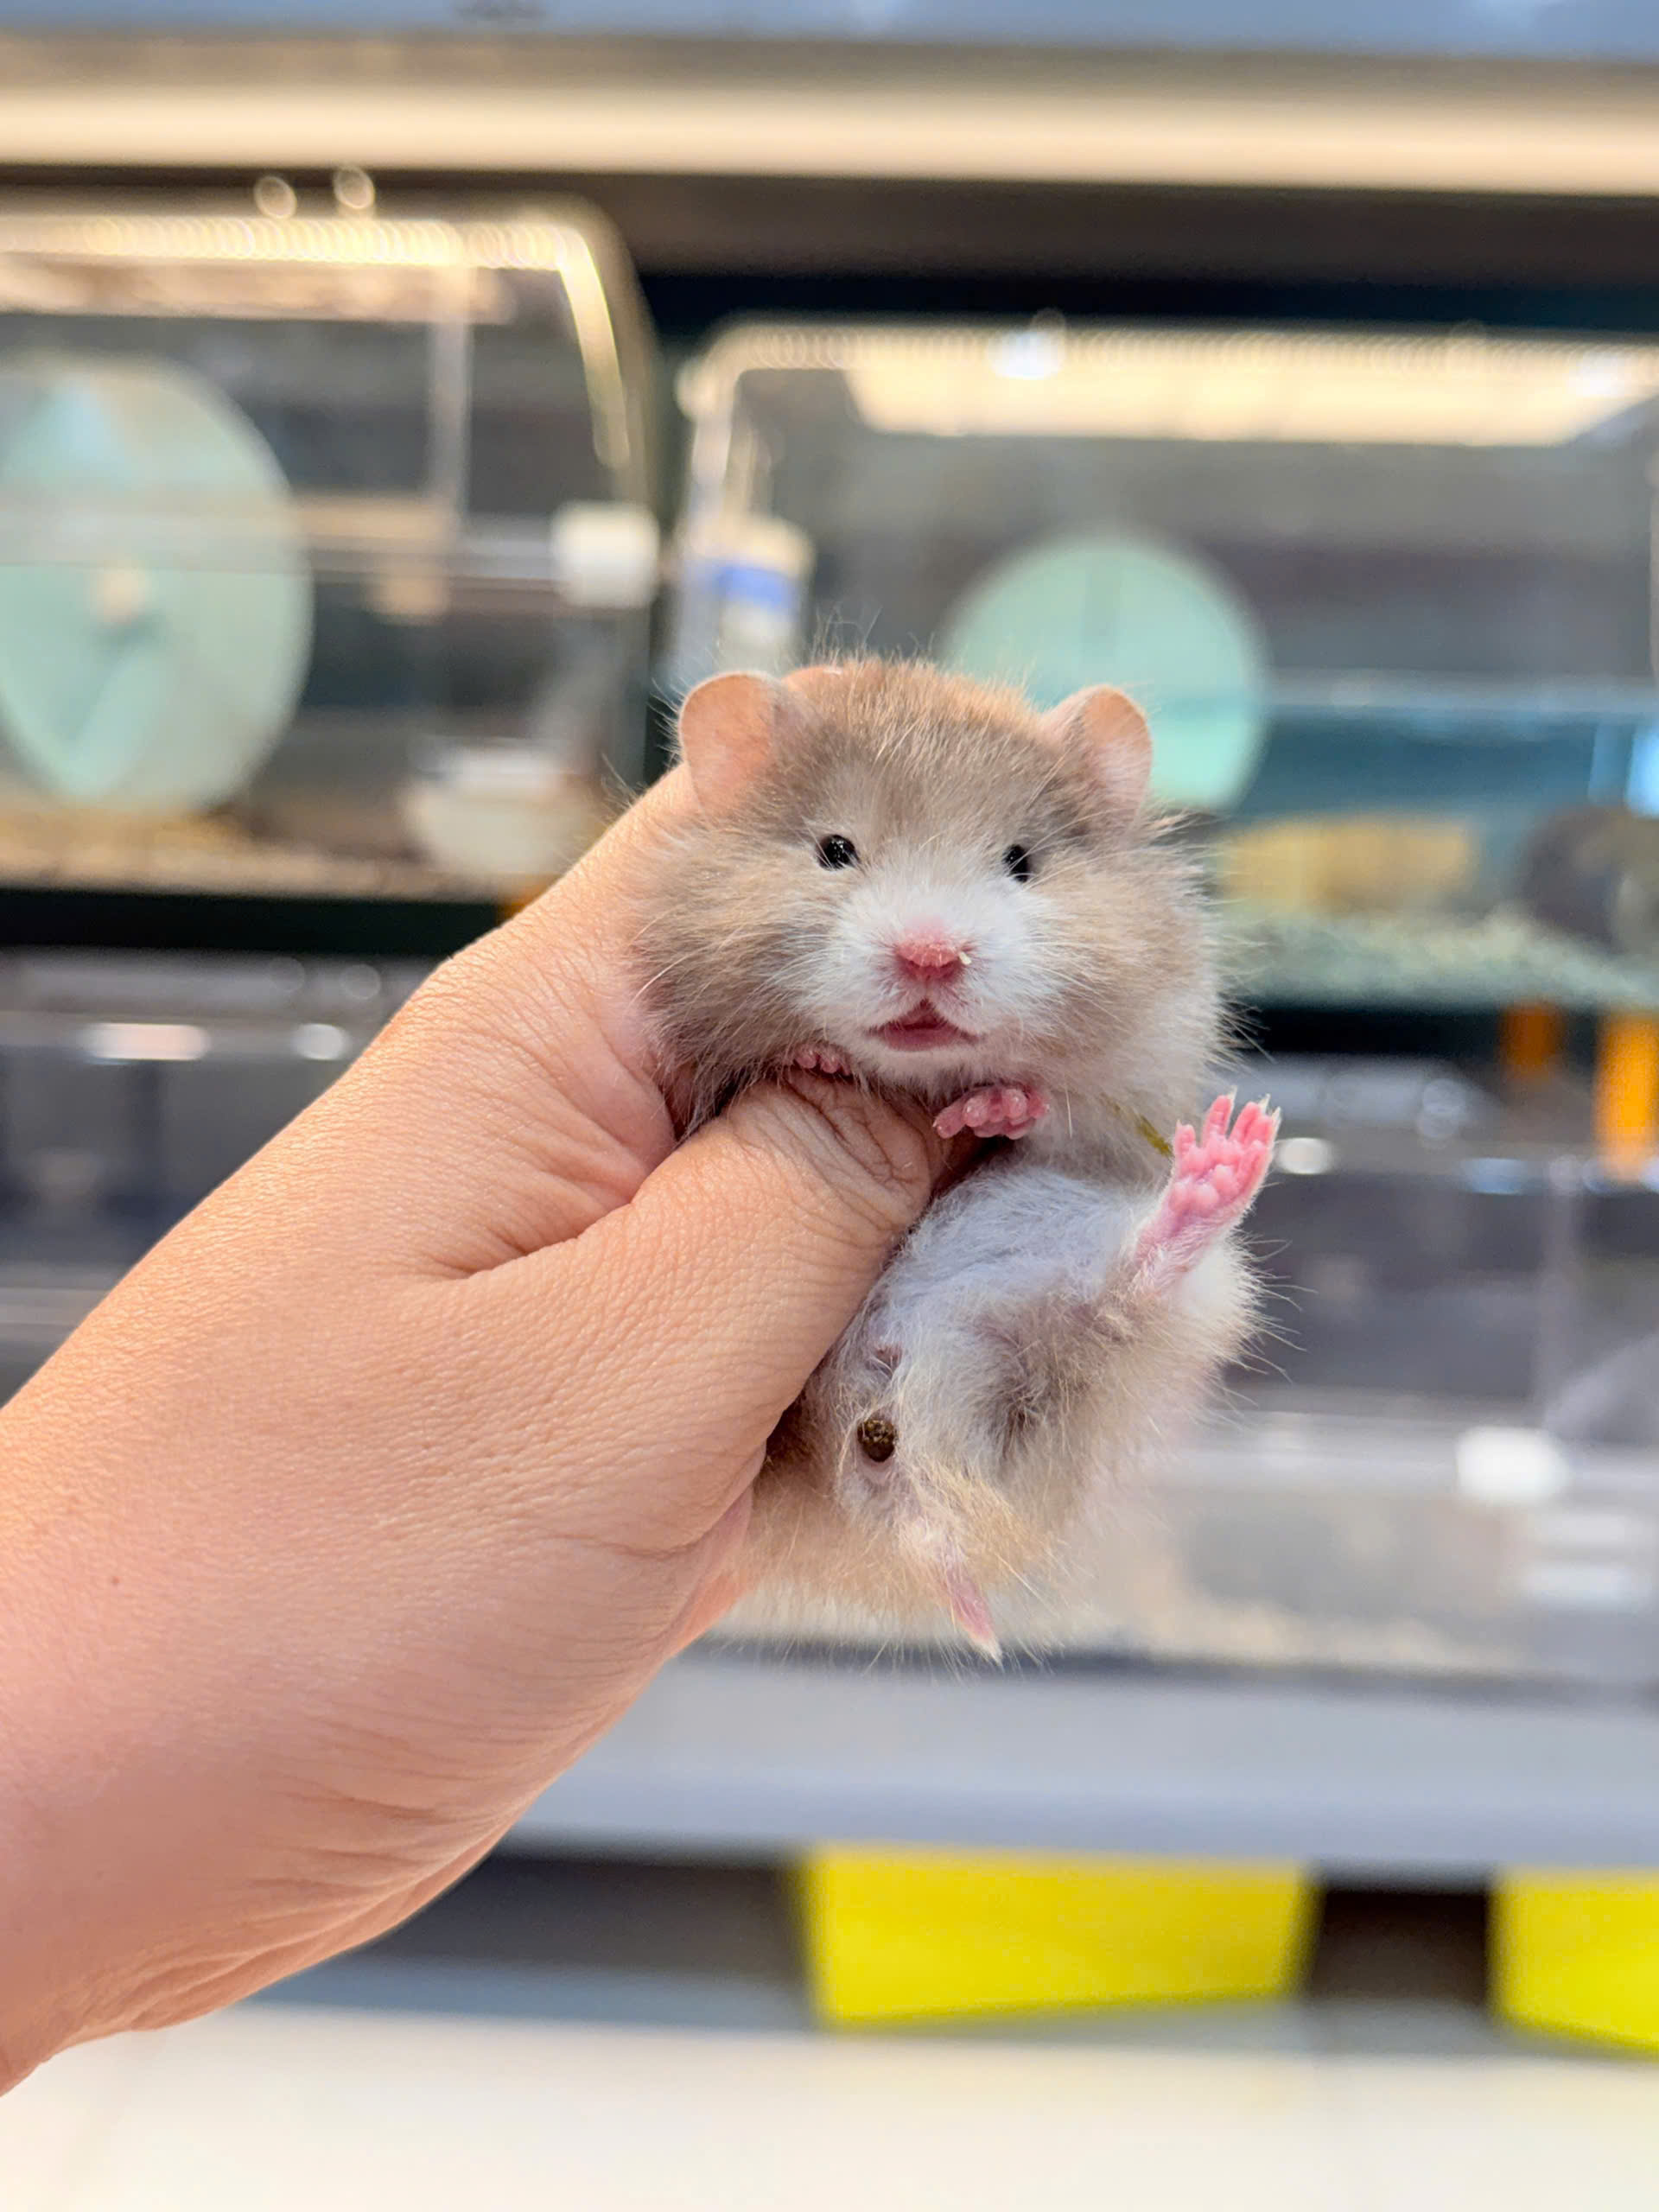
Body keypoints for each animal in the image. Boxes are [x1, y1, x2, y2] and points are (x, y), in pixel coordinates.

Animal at [636, 658, 1276, 1653]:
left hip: (1154, 1281)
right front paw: (820, 1061)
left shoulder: (1136, 1079)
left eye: (1021, 861)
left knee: (1125, 1298)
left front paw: (994, 1103)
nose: (932, 954)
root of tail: (903, 1426)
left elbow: (1049, 1110)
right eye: (835, 849)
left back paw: (1224, 1161)